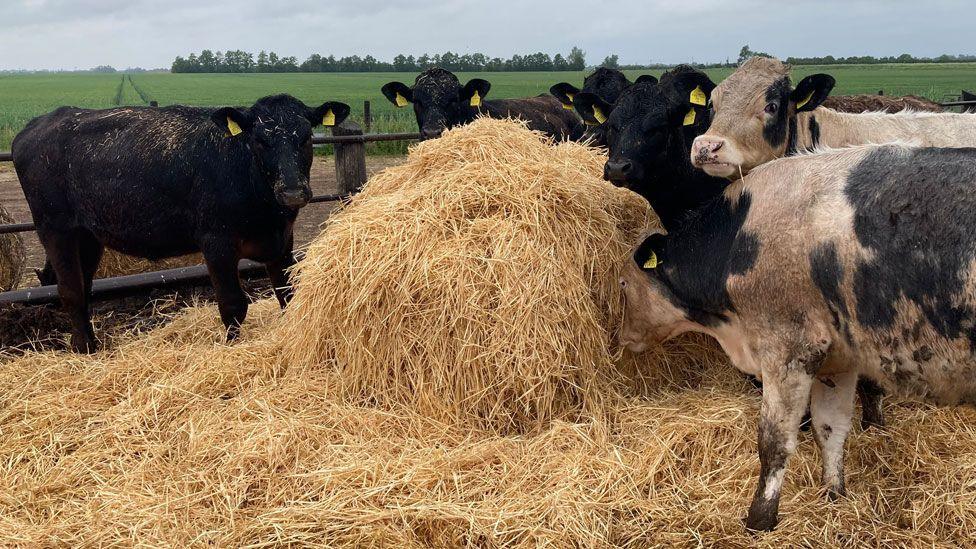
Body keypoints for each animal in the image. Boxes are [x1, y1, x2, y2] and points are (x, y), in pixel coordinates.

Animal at [12, 93, 350, 352]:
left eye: (306, 137)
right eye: (260, 140)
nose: (293, 191)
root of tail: (40, 123)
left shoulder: (282, 242)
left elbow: (287, 295)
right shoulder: (216, 242)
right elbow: (233, 304)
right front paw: (232, 347)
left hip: (89, 235)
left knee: (85, 288)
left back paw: (92, 344)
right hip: (55, 228)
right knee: (70, 289)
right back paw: (84, 349)